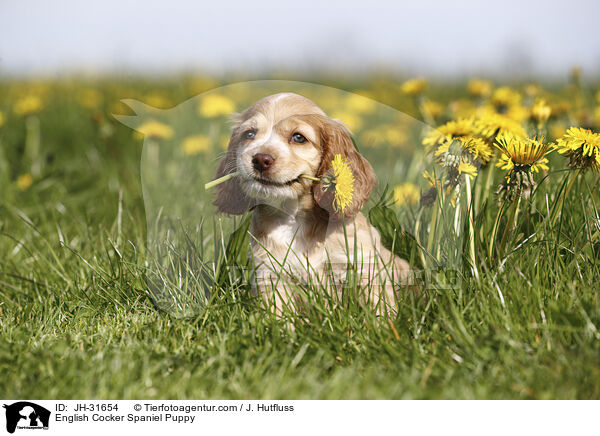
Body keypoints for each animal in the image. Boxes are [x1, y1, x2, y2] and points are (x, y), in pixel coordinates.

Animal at [213, 92, 410, 314]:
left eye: (298, 137)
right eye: (249, 134)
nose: (261, 159)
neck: (295, 218)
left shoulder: (362, 266)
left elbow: (379, 309)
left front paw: (385, 323)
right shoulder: (270, 274)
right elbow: (278, 316)